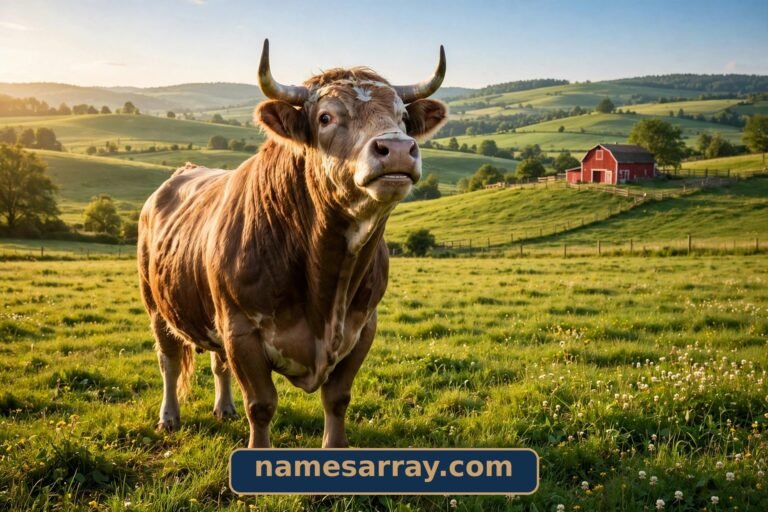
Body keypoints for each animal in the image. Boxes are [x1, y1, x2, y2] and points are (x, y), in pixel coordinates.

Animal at [138, 40, 448, 448]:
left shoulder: (363, 327)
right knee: (169, 362)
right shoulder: (241, 330)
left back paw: (224, 408)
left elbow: (337, 398)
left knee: (218, 364)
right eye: (326, 117)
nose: (397, 149)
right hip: (156, 305)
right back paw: (169, 417)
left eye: (403, 117)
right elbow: (261, 404)